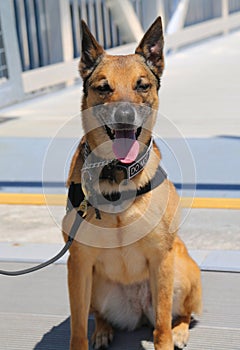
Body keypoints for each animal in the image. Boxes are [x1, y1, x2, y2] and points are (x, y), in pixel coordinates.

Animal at [62, 17, 201, 350]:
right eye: (103, 87)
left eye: (142, 85)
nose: (124, 116)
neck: (115, 177)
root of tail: (137, 310)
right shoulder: (79, 263)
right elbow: (77, 328)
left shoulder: (161, 259)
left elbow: (161, 327)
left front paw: (168, 339)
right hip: (95, 285)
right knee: (98, 314)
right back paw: (102, 331)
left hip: (179, 273)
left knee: (180, 313)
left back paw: (180, 330)